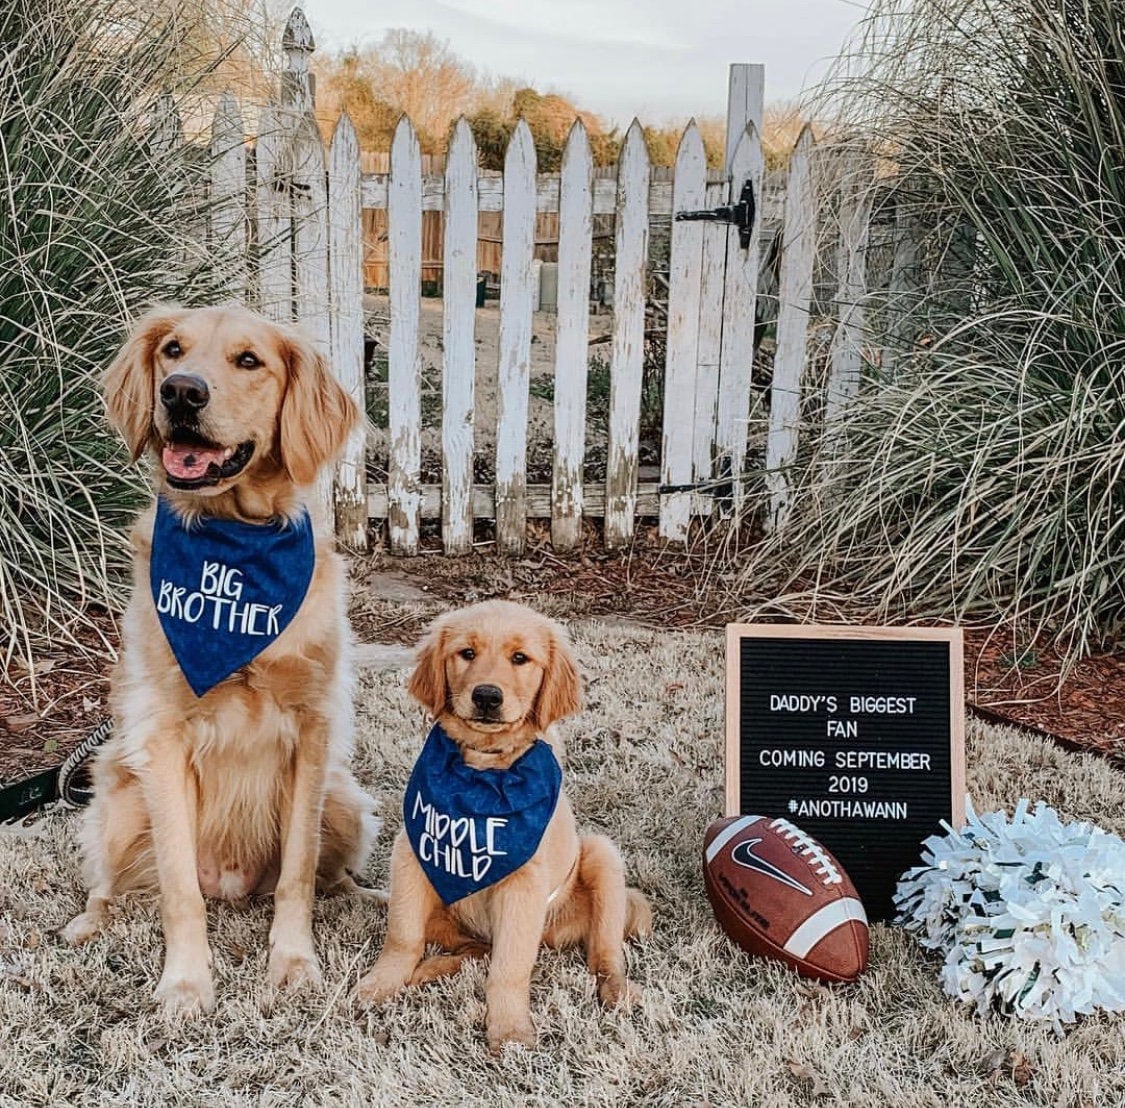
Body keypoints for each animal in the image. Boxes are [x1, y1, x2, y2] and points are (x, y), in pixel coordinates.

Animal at [66, 303, 382, 1012]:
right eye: (173, 350)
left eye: (249, 361)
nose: (180, 392)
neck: (234, 547)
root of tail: (235, 885)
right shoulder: (161, 737)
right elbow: (179, 888)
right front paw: (186, 982)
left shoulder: (314, 730)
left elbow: (298, 873)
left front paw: (293, 963)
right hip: (118, 797)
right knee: (109, 882)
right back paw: (86, 923)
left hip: (343, 800)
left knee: (331, 877)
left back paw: (370, 897)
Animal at [355, 602, 657, 1052]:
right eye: (466, 653)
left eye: (520, 658)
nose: (486, 696)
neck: (483, 775)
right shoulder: (410, 853)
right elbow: (403, 935)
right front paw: (380, 984)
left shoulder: (523, 883)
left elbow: (510, 965)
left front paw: (510, 1029)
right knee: (476, 947)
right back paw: (430, 969)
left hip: (601, 856)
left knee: (604, 955)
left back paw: (617, 990)